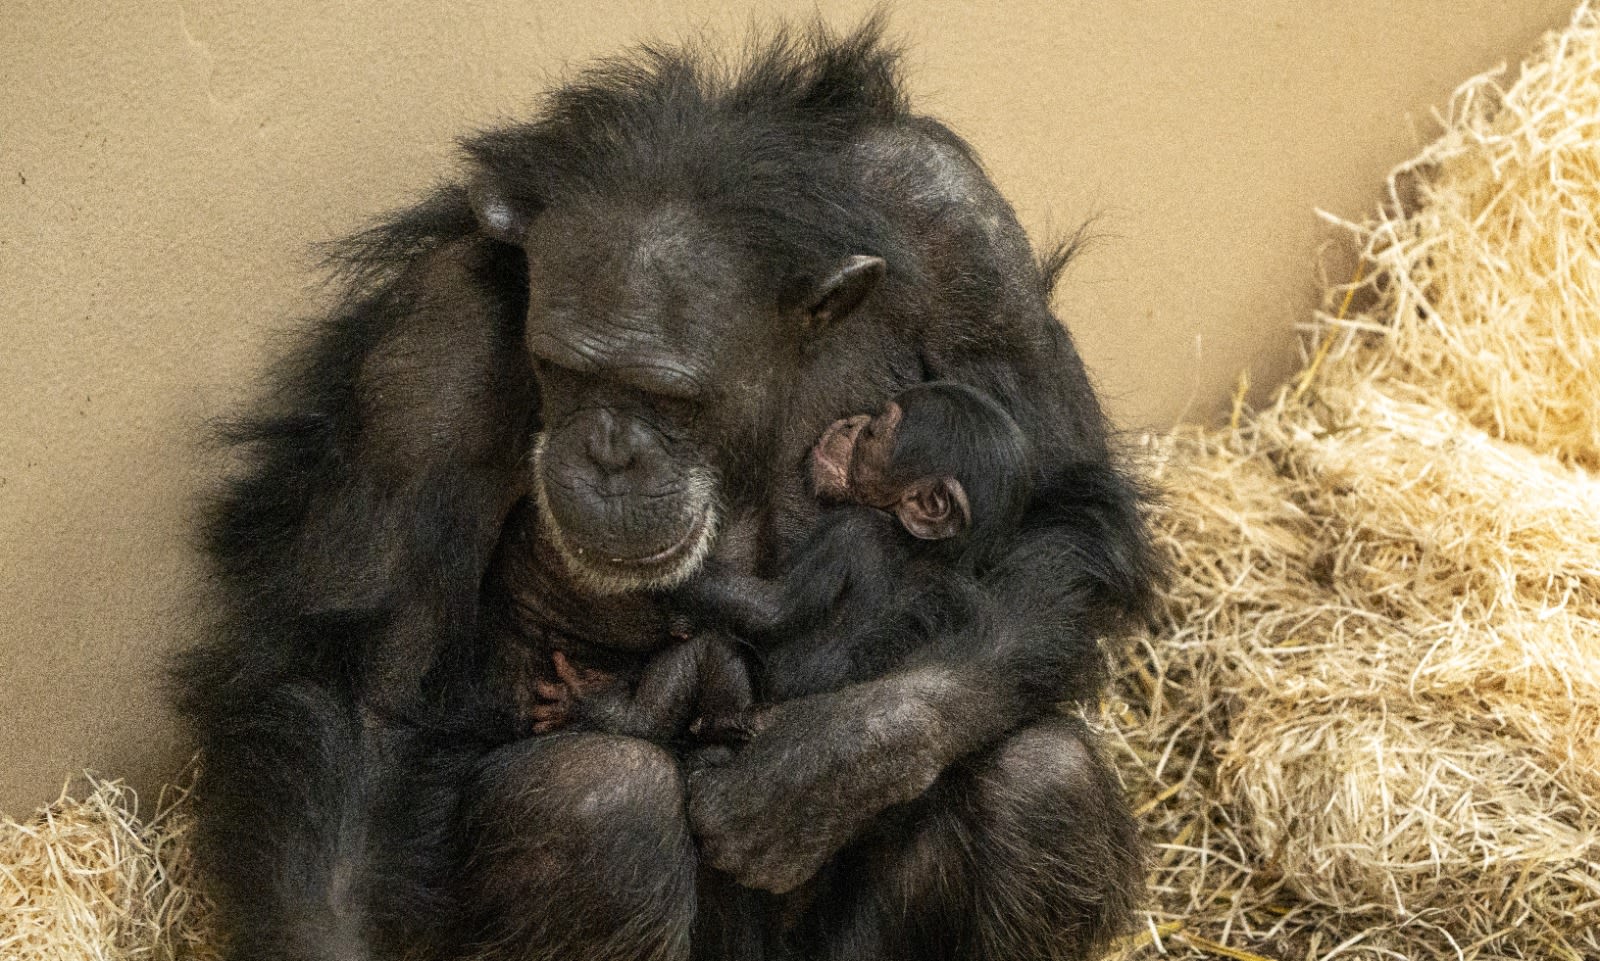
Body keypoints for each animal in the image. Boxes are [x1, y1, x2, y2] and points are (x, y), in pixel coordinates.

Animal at [172, 16, 1152, 959]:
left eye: (671, 397)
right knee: (598, 804)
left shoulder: (963, 231)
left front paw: (817, 768)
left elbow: (1062, 507)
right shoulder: (431, 344)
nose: (610, 452)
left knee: (1043, 779)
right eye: (564, 370)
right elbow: (368, 684)